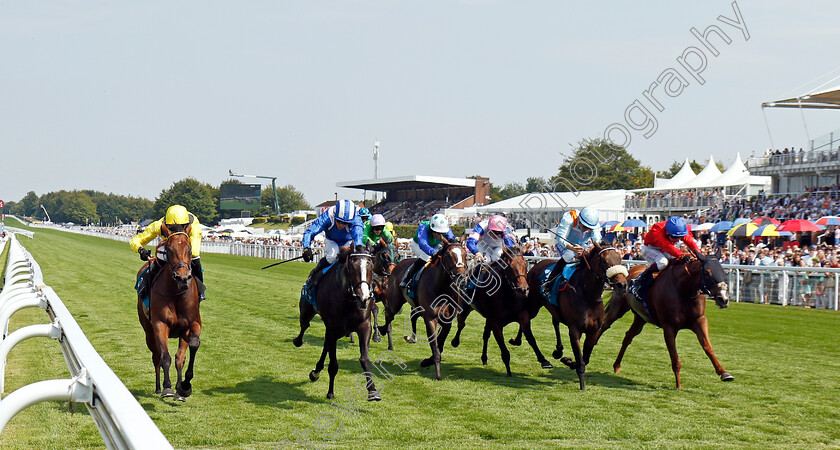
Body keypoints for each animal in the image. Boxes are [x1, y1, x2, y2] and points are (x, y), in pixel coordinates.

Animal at [139, 223, 203, 400]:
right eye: (168, 249)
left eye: (189, 249)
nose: (183, 278)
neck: (177, 294)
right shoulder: (160, 325)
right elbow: (165, 357)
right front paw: (167, 387)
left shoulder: (192, 324)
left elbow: (186, 352)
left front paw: (184, 387)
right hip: (148, 331)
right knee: (156, 357)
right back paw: (158, 387)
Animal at [290, 246, 378, 400]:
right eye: (352, 267)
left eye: (371, 266)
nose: (364, 298)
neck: (348, 299)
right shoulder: (332, 327)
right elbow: (333, 364)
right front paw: (330, 392)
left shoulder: (364, 325)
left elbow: (365, 359)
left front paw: (372, 391)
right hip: (307, 311)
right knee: (305, 326)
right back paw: (298, 342)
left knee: (326, 343)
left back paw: (316, 371)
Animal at [512, 243, 632, 390]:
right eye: (604, 261)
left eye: (620, 259)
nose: (622, 285)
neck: (588, 296)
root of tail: (537, 264)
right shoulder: (575, 330)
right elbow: (580, 360)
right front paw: (582, 385)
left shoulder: (593, 331)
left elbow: (585, 358)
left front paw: (568, 360)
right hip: (533, 303)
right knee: (525, 318)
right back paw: (518, 341)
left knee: (554, 321)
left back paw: (558, 350)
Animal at [592, 250, 732, 390]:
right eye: (707, 272)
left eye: (723, 271)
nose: (724, 299)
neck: (683, 289)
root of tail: (625, 273)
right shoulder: (669, 326)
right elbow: (675, 357)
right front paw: (678, 385)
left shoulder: (700, 320)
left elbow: (707, 346)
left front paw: (724, 373)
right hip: (617, 309)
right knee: (604, 326)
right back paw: (591, 345)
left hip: (640, 318)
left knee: (628, 337)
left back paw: (616, 366)